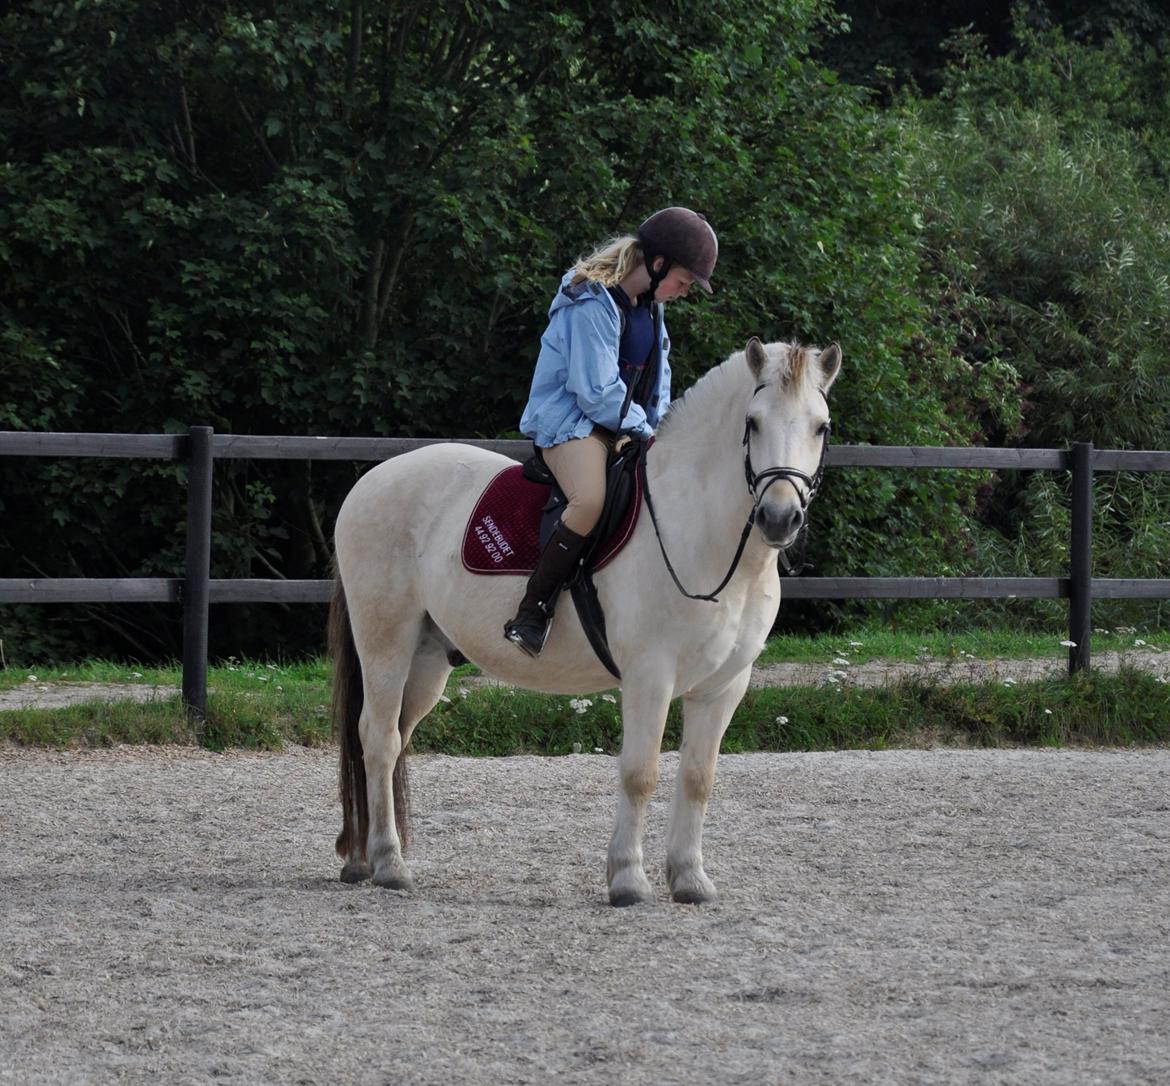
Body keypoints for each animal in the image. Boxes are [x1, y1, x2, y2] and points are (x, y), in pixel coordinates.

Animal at [329, 339, 842, 908]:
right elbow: (640, 773)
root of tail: (371, 480)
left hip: (427, 658)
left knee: (394, 739)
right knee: (378, 739)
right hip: (386, 642)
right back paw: (389, 864)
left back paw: (361, 858)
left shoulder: (723, 686)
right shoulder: (650, 678)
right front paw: (627, 879)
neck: (700, 533)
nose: (779, 518)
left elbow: (697, 778)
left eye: (821, 426)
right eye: (752, 422)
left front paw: (689, 879)